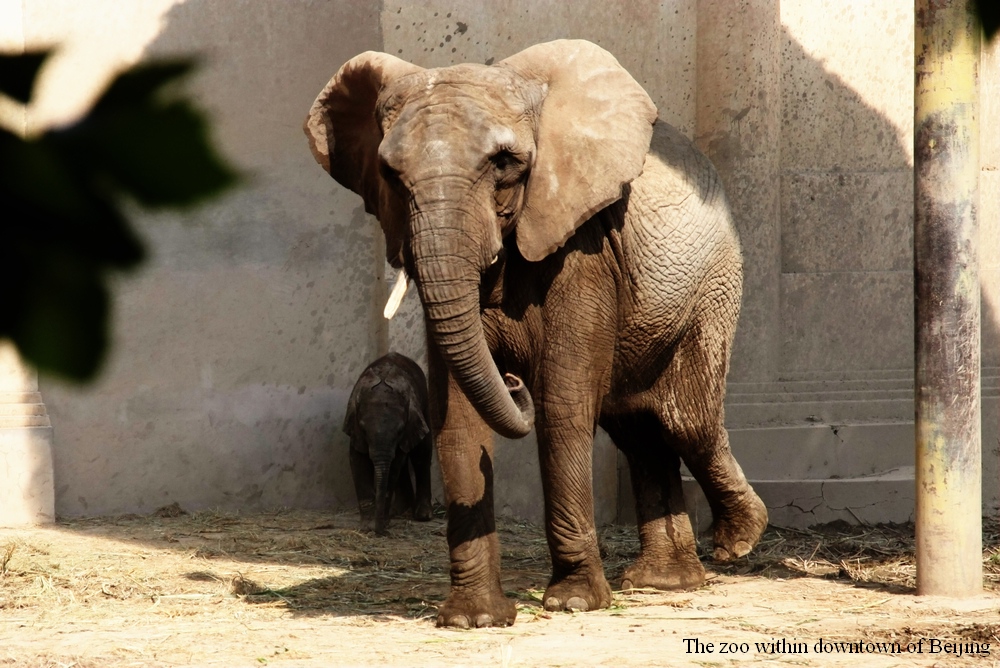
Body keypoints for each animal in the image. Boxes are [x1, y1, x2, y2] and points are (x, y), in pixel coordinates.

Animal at [343, 352, 433, 535]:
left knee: (422, 453)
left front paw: (380, 523)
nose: (380, 531)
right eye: (363, 429)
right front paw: (367, 527)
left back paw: (422, 515)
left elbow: (395, 464)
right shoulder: (355, 429)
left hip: (424, 405)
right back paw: (398, 511)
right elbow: (357, 459)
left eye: (400, 430)